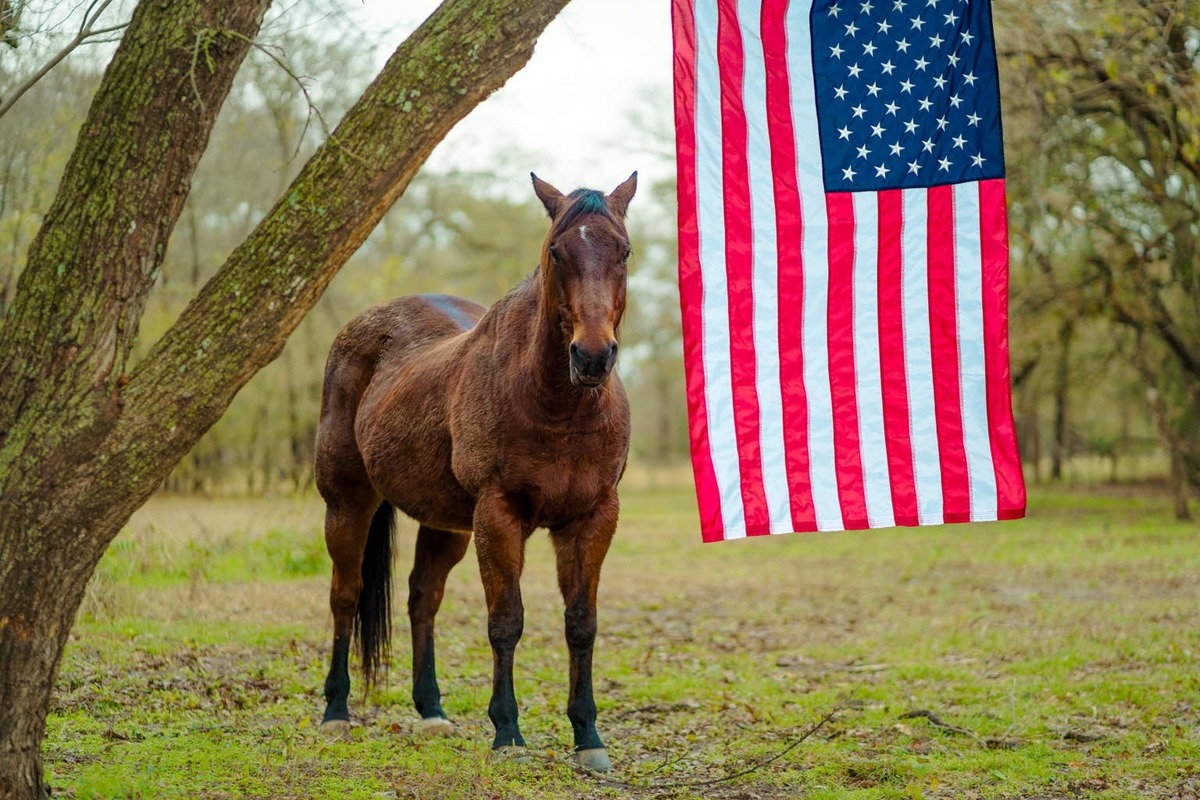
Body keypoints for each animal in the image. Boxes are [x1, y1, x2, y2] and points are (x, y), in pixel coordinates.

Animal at [313, 172, 637, 773]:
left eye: (623, 251)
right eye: (556, 252)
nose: (592, 357)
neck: (556, 406)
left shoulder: (593, 517)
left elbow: (581, 622)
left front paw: (588, 736)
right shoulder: (498, 514)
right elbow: (506, 621)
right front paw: (507, 732)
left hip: (445, 524)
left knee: (422, 599)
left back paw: (432, 711)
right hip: (346, 504)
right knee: (345, 595)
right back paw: (336, 711)